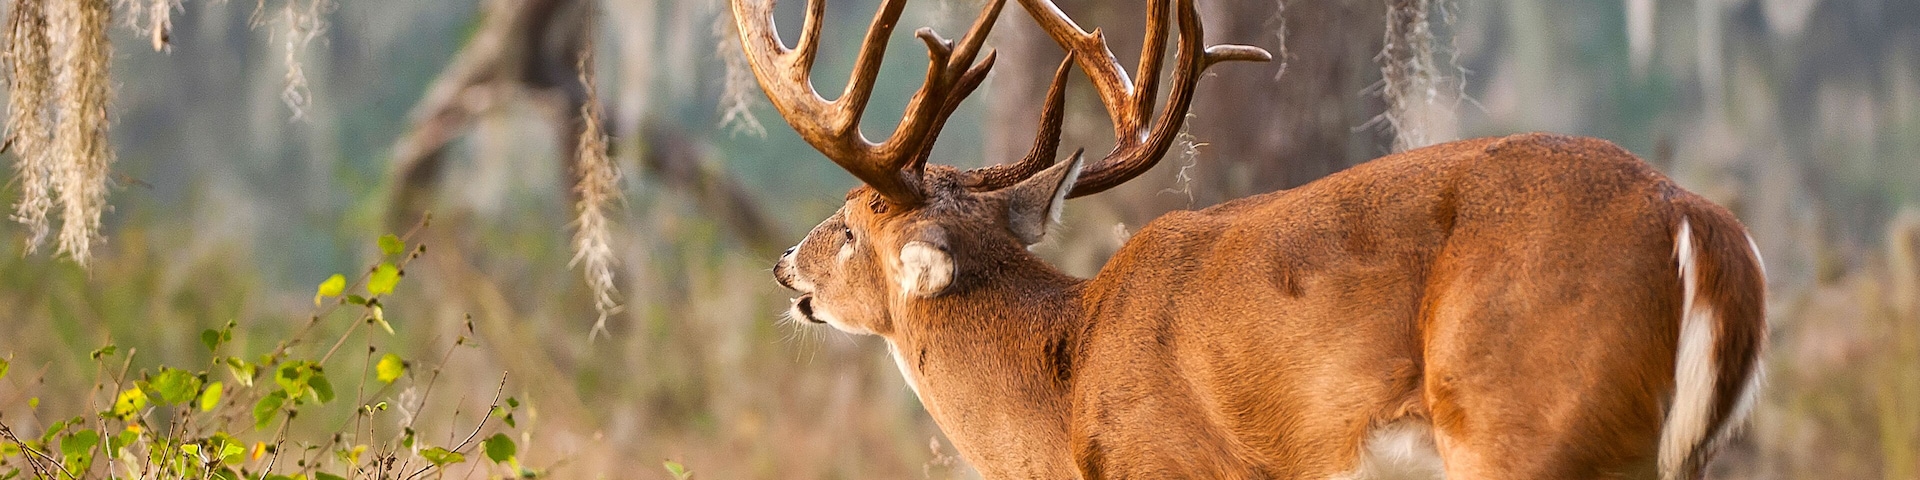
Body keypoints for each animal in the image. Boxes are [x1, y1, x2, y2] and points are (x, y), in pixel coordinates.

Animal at [733, 0, 1767, 477]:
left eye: (851, 224)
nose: (783, 265)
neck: (1065, 393)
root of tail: (1703, 226)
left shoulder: (1170, 461)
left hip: (1529, 418)